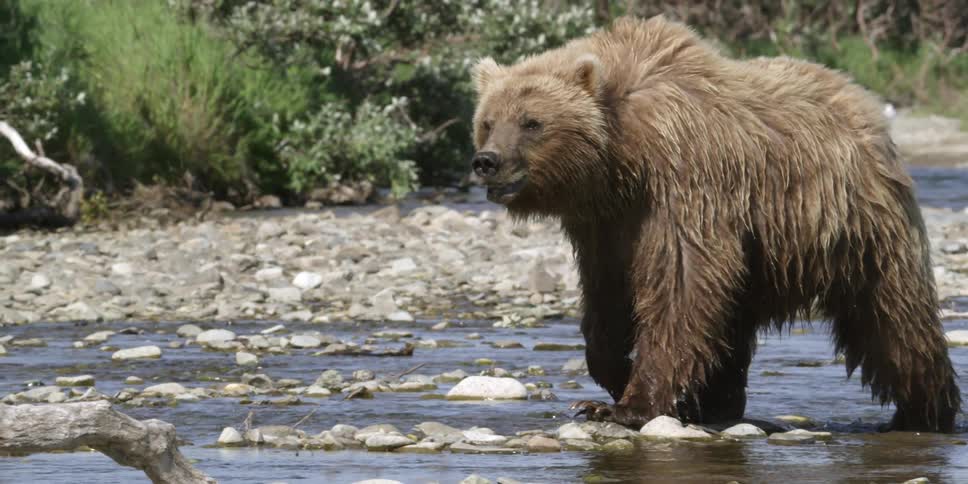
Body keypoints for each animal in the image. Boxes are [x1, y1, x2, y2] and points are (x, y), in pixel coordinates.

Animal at [469, 15, 961, 432]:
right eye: (488, 121)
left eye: (532, 122)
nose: (487, 161)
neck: (622, 161)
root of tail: (863, 100)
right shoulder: (602, 224)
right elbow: (607, 297)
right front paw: (610, 379)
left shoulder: (687, 185)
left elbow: (681, 285)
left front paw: (627, 405)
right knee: (733, 326)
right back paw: (717, 403)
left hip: (857, 226)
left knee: (891, 319)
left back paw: (925, 411)